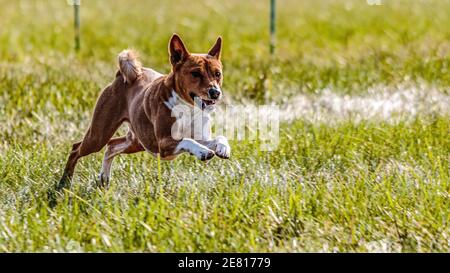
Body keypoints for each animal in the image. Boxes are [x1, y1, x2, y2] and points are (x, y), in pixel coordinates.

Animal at [57, 33, 230, 189]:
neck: (189, 109)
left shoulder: (199, 137)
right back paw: (64, 183)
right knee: (76, 148)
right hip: (98, 136)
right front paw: (203, 151)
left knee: (112, 146)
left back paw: (104, 179)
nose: (215, 92)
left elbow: (218, 138)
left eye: (217, 74)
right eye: (196, 73)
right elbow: (188, 140)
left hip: (137, 141)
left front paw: (223, 148)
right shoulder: (163, 143)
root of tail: (121, 76)